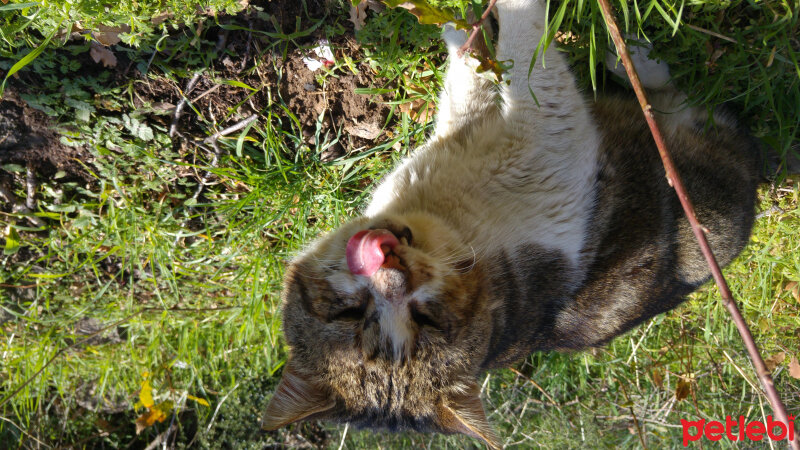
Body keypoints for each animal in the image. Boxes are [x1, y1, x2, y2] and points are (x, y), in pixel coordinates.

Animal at [262, 0, 764, 444]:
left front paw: (462, 24)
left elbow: (489, 65)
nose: (391, 274)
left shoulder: (501, 129)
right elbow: (517, 61)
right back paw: (635, 61)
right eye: (353, 313)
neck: (437, 209)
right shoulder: (546, 137)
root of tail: (759, 178)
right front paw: (489, 19)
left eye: (426, 320)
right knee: (689, 104)